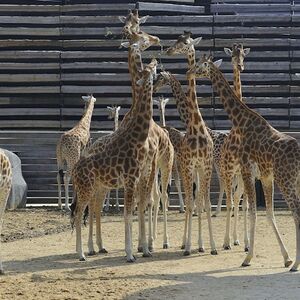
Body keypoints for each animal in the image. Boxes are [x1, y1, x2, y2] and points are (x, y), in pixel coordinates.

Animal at [71, 56, 158, 262]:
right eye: (150, 68)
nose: (155, 60)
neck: (138, 137)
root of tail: (74, 171)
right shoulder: (130, 179)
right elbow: (128, 214)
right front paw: (130, 254)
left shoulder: (136, 179)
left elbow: (136, 211)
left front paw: (143, 250)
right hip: (86, 189)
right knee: (79, 214)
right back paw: (82, 254)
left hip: (94, 188)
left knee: (88, 212)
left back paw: (88, 250)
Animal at [188, 54, 298, 272]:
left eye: (199, 65)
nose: (189, 73)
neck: (242, 121)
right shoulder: (265, 176)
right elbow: (268, 213)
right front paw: (286, 258)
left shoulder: (247, 169)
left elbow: (253, 210)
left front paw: (247, 257)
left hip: (286, 180)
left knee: (296, 213)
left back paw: (296, 265)